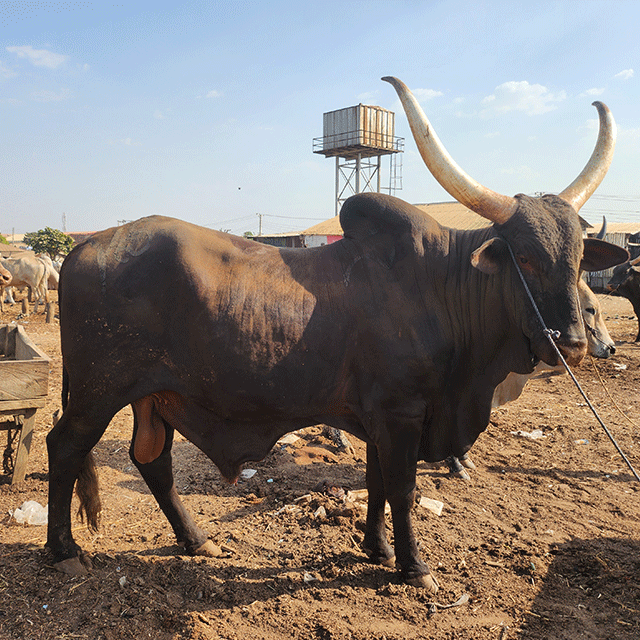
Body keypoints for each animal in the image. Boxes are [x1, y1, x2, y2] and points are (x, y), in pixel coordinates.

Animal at [46, 77, 628, 593]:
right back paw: (64, 550)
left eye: (579, 257)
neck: (442, 286)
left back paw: (196, 540)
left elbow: (376, 483)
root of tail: (86, 245)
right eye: (524, 257)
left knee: (152, 459)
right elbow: (401, 488)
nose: (573, 343)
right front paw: (413, 566)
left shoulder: (377, 416)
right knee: (66, 445)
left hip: (153, 396)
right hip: (99, 391)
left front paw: (379, 548)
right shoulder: (400, 412)